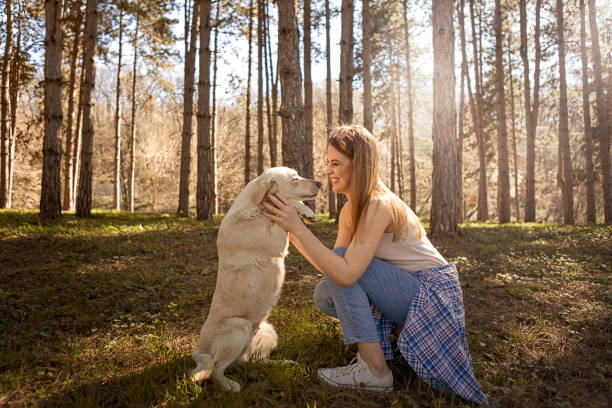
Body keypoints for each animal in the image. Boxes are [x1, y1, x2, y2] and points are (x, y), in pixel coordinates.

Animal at [191, 167, 320, 392]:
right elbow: (287, 206)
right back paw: (229, 385)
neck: (256, 209)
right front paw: (302, 210)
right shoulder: (276, 241)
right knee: (216, 368)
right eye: (294, 179)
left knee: (253, 361)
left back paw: (283, 363)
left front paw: (306, 213)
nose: (320, 183)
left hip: (268, 332)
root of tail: (199, 348)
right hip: (239, 327)